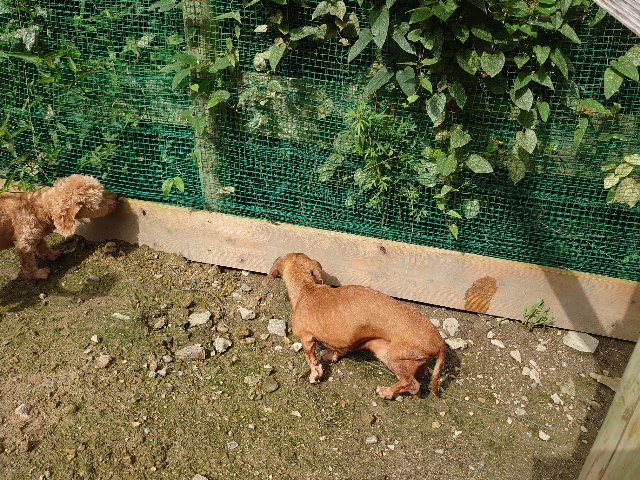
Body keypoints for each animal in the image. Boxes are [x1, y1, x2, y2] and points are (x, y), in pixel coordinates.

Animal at [266, 252, 446, 399]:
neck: (306, 289)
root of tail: (439, 341)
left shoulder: (307, 338)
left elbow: (311, 360)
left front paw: (315, 374)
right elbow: (340, 350)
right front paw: (331, 356)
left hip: (394, 356)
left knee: (412, 384)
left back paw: (386, 392)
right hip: (386, 351)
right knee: (419, 374)